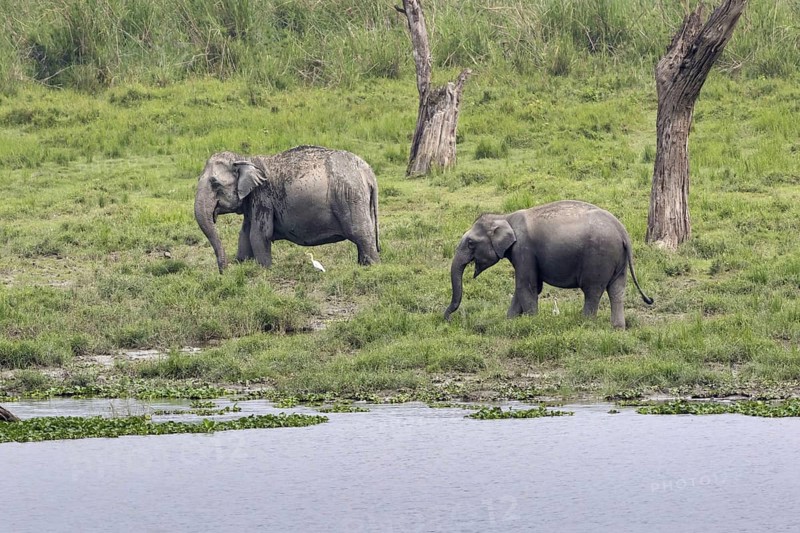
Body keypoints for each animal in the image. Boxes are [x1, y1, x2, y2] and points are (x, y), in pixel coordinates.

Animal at [194, 145, 380, 273]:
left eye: (215, 183)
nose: (224, 271)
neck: (246, 159)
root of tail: (368, 171)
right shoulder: (252, 203)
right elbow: (244, 234)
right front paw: (243, 265)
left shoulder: (262, 196)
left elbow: (259, 235)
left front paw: (265, 271)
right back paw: (362, 265)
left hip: (350, 196)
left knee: (361, 233)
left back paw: (371, 267)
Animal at [444, 200, 653, 329]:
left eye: (470, 243)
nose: (447, 319)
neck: (505, 217)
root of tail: (623, 232)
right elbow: (529, 287)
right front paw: (510, 321)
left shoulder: (524, 250)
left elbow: (526, 286)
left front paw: (531, 322)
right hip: (619, 261)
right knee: (617, 290)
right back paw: (617, 328)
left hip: (599, 258)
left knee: (593, 291)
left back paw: (584, 323)